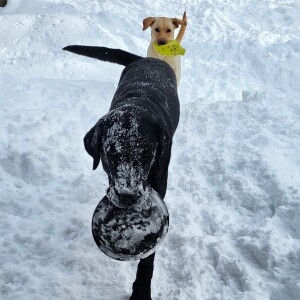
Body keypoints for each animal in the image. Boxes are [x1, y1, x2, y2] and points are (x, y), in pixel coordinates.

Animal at [63, 45, 179, 298]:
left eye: (146, 154)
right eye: (111, 154)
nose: (128, 196)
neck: (138, 105)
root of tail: (146, 59)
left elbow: (148, 259)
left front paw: (141, 291)